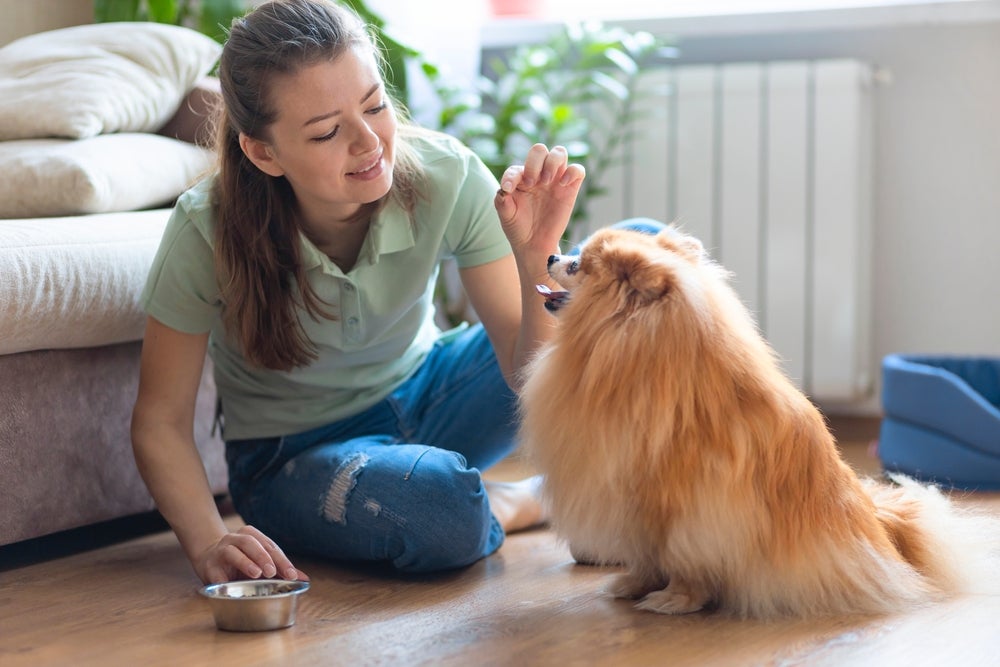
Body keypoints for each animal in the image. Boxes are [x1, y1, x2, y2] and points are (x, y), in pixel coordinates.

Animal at [520, 226, 996, 620]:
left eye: (577, 265)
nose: (551, 255)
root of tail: (880, 526)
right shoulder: (632, 500)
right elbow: (646, 554)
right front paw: (635, 584)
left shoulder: (692, 507)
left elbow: (685, 559)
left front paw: (675, 599)